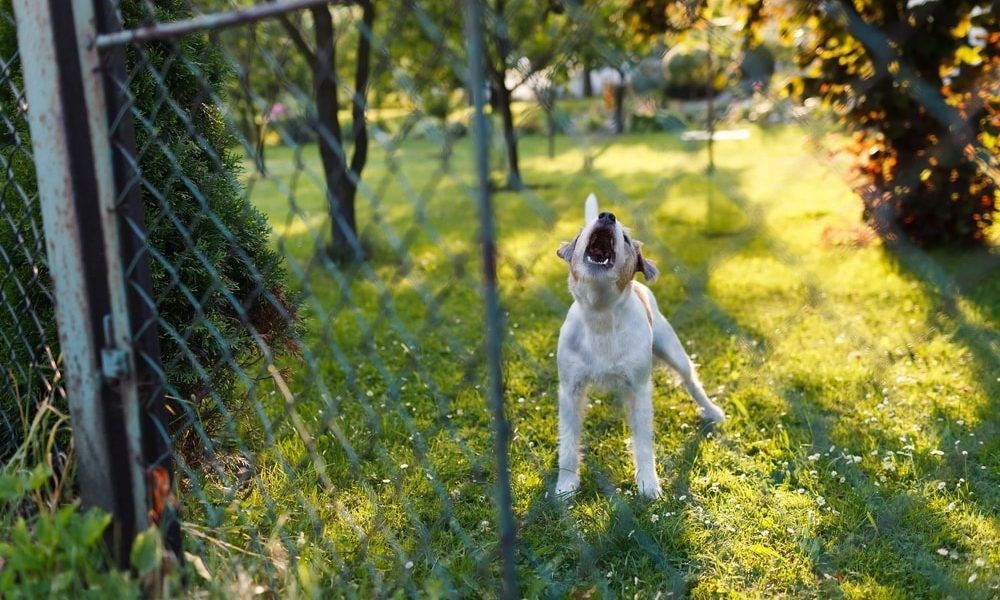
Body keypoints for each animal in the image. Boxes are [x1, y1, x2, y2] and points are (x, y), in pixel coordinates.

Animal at [556, 193, 728, 496]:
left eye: (625, 237)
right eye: (581, 234)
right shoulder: (570, 390)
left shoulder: (638, 389)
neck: (601, 314)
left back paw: (712, 411)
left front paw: (648, 483)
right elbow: (568, 442)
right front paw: (565, 485)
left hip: (674, 352)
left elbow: (644, 442)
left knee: (692, 381)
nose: (607, 216)